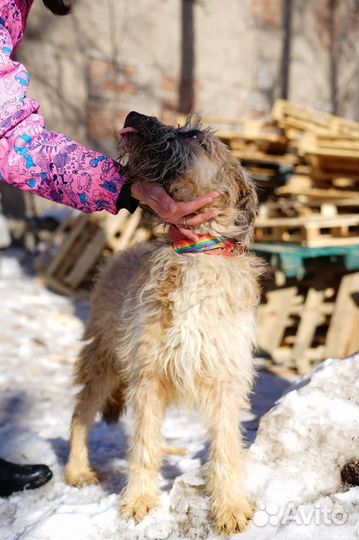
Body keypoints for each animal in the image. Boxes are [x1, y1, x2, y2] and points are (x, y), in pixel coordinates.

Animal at [64, 112, 262, 532]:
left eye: (195, 136)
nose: (134, 116)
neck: (194, 253)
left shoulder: (226, 379)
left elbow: (226, 448)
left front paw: (230, 507)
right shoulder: (148, 376)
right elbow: (143, 445)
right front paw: (139, 500)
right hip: (104, 360)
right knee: (81, 414)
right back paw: (77, 470)